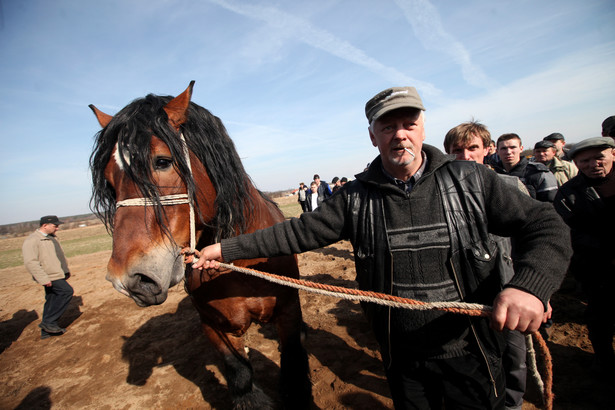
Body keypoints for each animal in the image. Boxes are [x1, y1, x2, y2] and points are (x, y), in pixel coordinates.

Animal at [88, 81, 312, 408]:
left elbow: (294, 367)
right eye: (108, 178)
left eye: (163, 161)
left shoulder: (288, 311)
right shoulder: (213, 326)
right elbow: (239, 375)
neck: (239, 268)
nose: (128, 280)